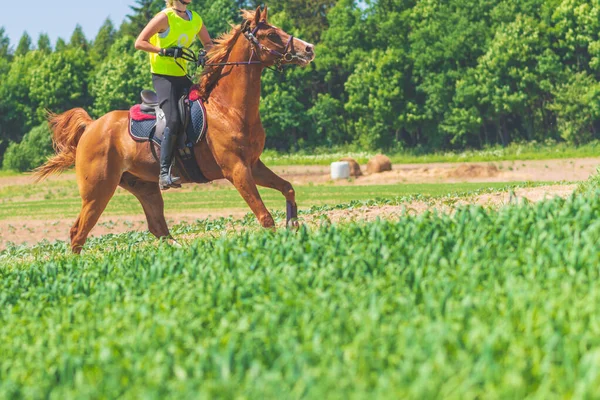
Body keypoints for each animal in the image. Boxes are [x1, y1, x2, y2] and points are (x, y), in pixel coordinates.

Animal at [33, 6, 316, 253]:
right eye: (271, 35)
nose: (309, 49)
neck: (228, 109)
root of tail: (92, 126)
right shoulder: (236, 170)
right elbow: (265, 217)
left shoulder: (253, 165)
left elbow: (288, 188)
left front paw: (294, 228)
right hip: (98, 191)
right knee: (78, 232)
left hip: (144, 187)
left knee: (158, 228)